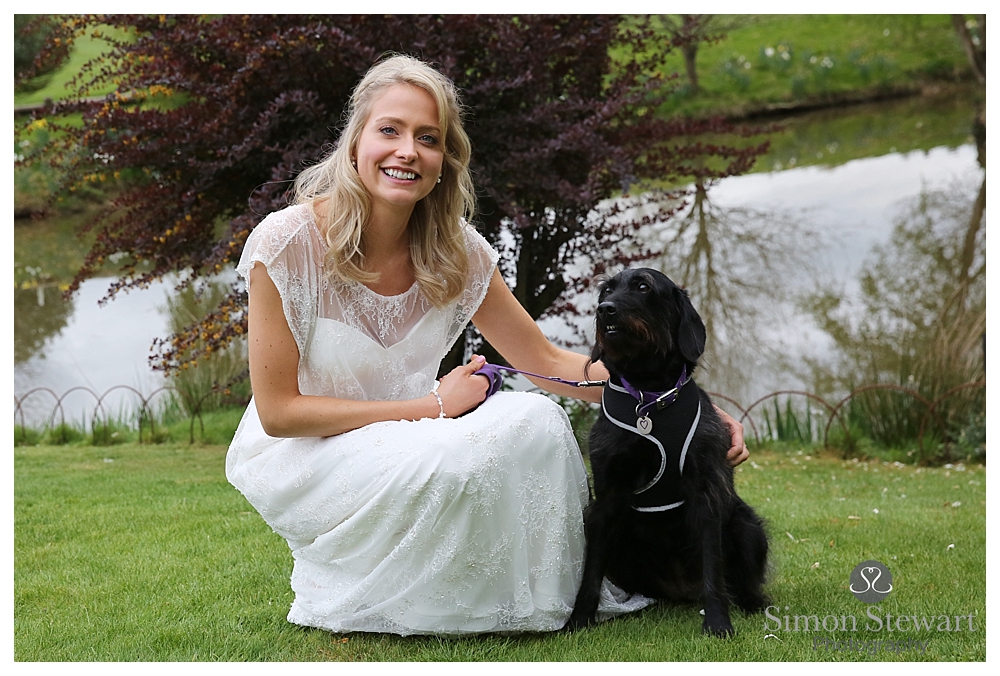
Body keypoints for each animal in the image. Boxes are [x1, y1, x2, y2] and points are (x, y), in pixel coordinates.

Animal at [568, 268, 768, 632]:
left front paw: (718, 622)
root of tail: (681, 588)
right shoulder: (606, 497)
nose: (605, 310)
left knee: (741, 579)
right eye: (607, 290)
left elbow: (713, 567)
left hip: (748, 527)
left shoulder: (705, 491)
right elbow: (591, 569)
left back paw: (753, 603)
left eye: (643, 287)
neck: (649, 395)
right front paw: (579, 619)